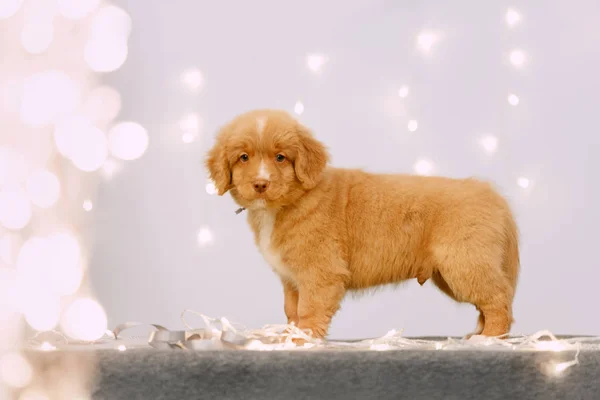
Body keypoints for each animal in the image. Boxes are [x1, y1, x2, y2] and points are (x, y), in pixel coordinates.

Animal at [204, 108, 516, 338]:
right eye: (243, 157)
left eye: (280, 157)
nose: (260, 184)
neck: (291, 201)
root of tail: (492, 194)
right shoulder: (291, 279)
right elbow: (292, 310)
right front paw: (289, 337)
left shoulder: (321, 272)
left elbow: (309, 309)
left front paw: (303, 339)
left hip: (465, 262)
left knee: (500, 298)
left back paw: (489, 338)